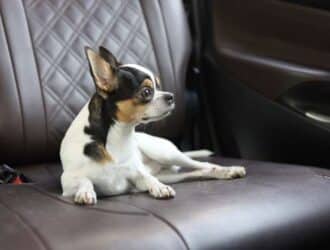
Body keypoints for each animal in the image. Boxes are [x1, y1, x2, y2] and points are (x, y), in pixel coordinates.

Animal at [60, 47, 245, 205]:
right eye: (147, 92)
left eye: (159, 86)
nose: (171, 96)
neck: (118, 136)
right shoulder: (67, 181)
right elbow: (84, 180)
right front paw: (85, 191)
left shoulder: (137, 175)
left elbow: (148, 178)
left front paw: (159, 188)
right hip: (170, 174)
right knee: (196, 172)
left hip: (166, 154)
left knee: (202, 165)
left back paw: (229, 170)